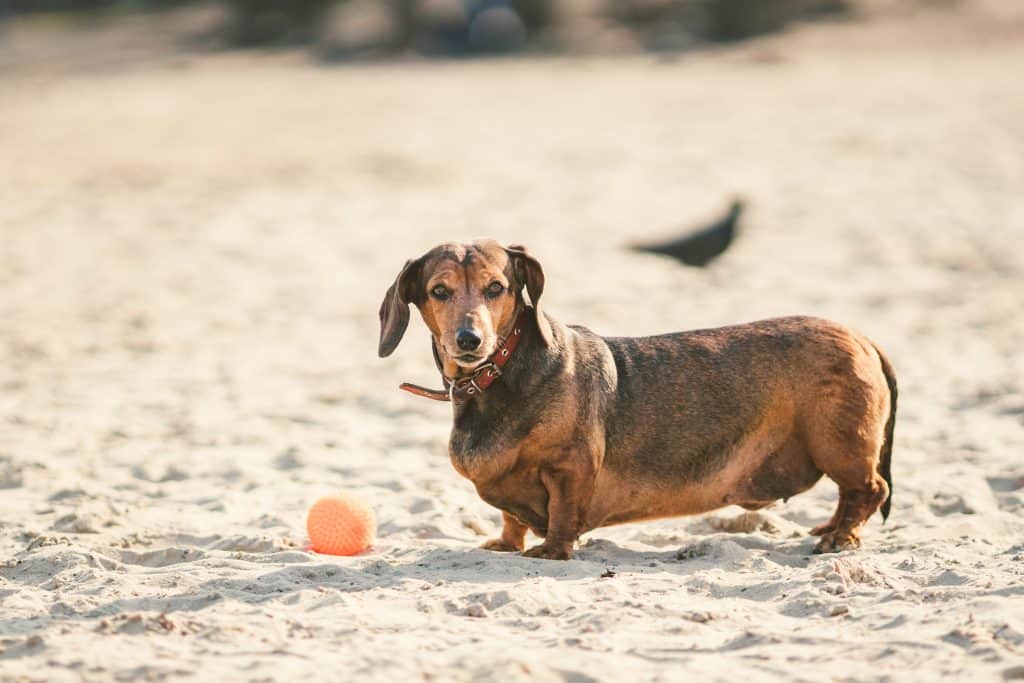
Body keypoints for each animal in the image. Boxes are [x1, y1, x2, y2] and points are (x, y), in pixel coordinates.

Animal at [378, 240, 897, 561]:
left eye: (496, 288)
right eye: (438, 291)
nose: (469, 341)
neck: (498, 375)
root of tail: (863, 338)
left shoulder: (570, 467)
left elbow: (562, 513)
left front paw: (552, 551)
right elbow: (510, 517)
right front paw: (506, 543)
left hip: (839, 443)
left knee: (870, 489)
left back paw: (840, 537)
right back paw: (827, 529)